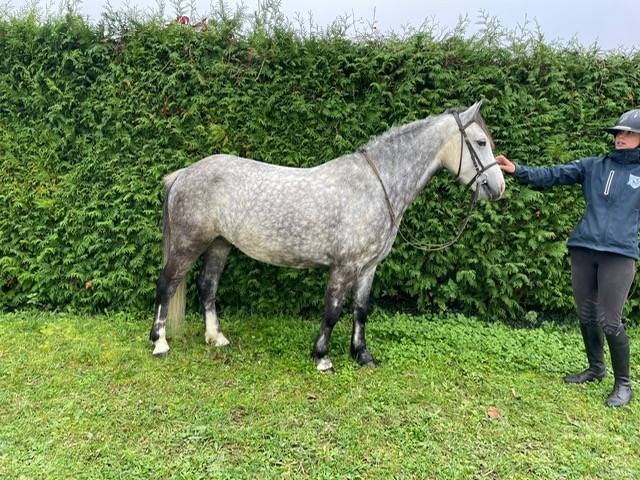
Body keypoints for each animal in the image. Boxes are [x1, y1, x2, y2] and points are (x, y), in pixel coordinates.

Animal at [149, 101, 505, 371]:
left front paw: (363, 356)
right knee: (167, 285)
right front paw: (322, 357)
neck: (376, 185)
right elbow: (332, 311)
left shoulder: (368, 267)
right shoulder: (344, 266)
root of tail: (184, 174)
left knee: (207, 286)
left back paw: (216, 338)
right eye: (480, 142)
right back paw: (160, 343)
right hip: (188, 244)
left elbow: (360, 310)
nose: (498, 187)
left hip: (219, 245)